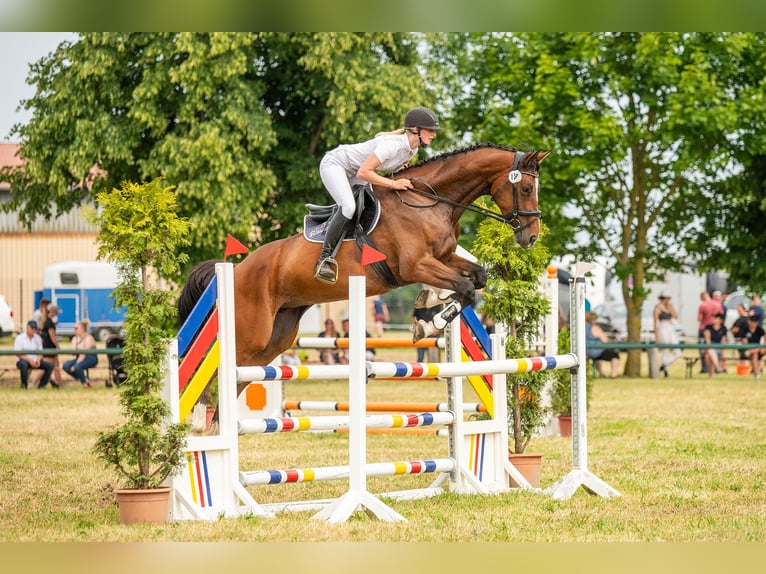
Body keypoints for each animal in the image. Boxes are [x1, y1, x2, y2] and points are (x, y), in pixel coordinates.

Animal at [178, 144, 550, 397]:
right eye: (525, 188)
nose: (531, 237)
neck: (430, 201)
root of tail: (237, 268)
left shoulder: (443, 258)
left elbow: (476, 279)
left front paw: (425, 310)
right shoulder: (415, 265)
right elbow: (467, 288)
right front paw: (431, 321)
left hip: (277, 335)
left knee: (243, 374)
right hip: (251, 331)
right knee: (219, 372)